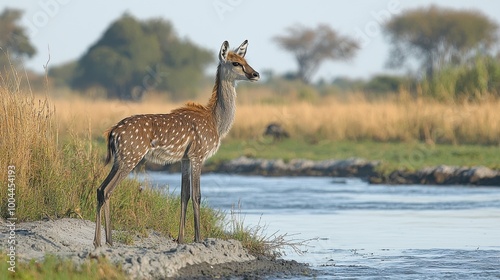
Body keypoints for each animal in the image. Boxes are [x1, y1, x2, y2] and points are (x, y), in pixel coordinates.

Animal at [93, 40, 262, 247]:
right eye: (235, 63)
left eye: (245, 60)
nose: (255, 74)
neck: (216, 122)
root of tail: (112, 133)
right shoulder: (198, 154)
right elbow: (197, 195)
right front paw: (198, 238)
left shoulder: (184, 158)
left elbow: (184, 194)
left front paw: (180, 239)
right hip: (131, 156)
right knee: (107, 190)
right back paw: (106, 241)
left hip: (119, 159)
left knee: (100, 189)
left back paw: (100, 241)